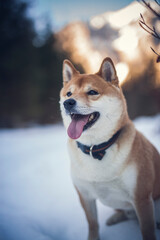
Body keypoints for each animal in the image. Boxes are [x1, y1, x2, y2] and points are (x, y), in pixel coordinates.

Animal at [59, 58, 159, 240]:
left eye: (92, 92)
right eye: (69, 94)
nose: (68, 103)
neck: (96, 148)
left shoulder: (141, 198)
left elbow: (147, 230)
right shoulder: (85, 196)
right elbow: (92, 224)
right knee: (125, 212)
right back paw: (115, 218)